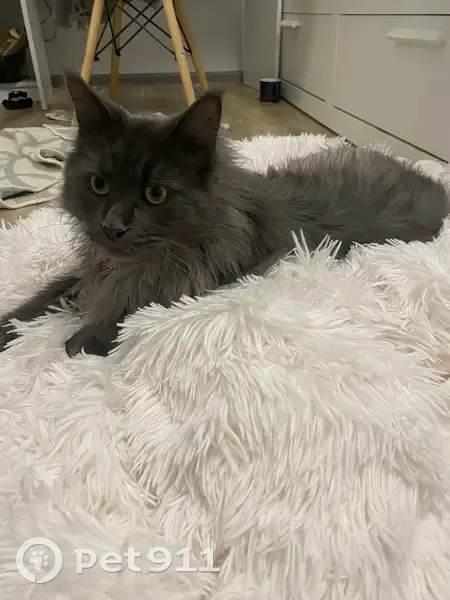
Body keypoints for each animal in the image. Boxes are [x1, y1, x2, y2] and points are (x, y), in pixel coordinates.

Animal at [0, 73, 448, 357]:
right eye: (98, 185)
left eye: (156, 193)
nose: (113, 227)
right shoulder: (92, 270)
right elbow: (43, 297)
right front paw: (11, 328)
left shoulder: (194, 286)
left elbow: (123, 316)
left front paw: (79, 340)